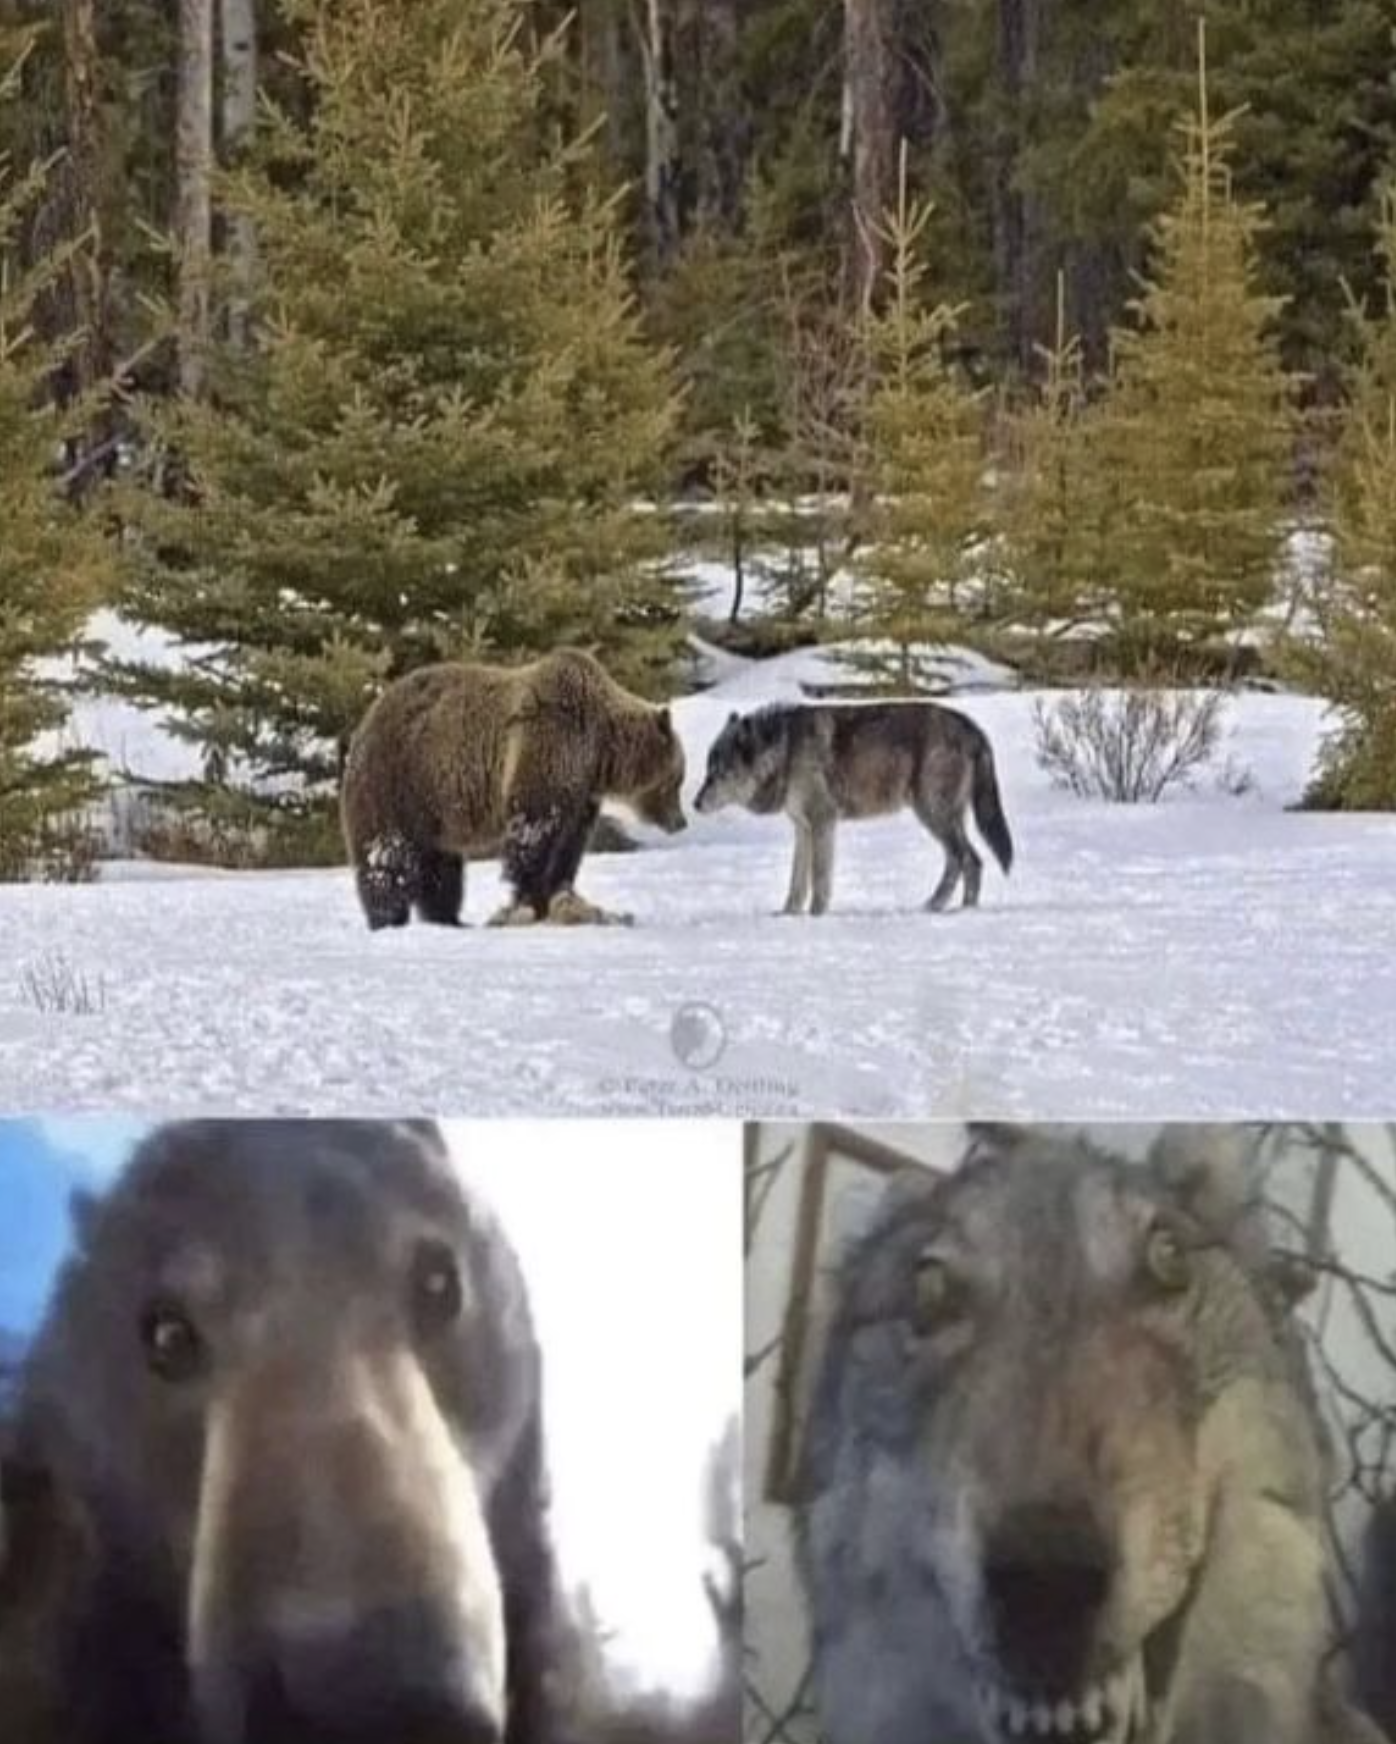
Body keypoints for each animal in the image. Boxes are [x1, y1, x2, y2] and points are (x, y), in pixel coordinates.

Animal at [340, 648, 688, 931]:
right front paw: (527, 900)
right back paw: (388, 918)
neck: (599, 748)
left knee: (441, 867)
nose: (681, 821)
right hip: (397, 780)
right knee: (388, 857)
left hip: (432, 807)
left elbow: (569, 845)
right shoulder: (551, 746)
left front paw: (559, 894)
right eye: (677, 780)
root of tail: (364, 723)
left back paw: (450, 919)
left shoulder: (581, 792)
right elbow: (533, 830)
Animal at [693, 701, 1012, 916]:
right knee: (973, 860)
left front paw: (816, 914)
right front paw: (788, 914)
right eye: (708, 771)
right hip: (945, 818)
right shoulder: (803, 827)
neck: (786, 752)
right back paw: (964, 909)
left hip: (933, 814)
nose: (695, 803)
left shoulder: (822, 821)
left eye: (718, 774)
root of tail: (973, 729)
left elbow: (819, 878)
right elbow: (797, 881)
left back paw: (938, 906)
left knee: (964, 858)